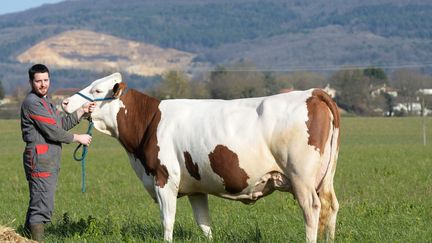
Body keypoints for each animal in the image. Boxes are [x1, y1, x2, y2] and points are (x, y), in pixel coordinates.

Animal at [61, 72, 340, 243]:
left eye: (97, 89)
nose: (64, 102)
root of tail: (313, 92)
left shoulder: (164, 179)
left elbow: (167, 221)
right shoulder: (196, 188)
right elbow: (204, 224)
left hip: (301, 178)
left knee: (312, 210)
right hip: (325, 179)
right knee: (331, 207)